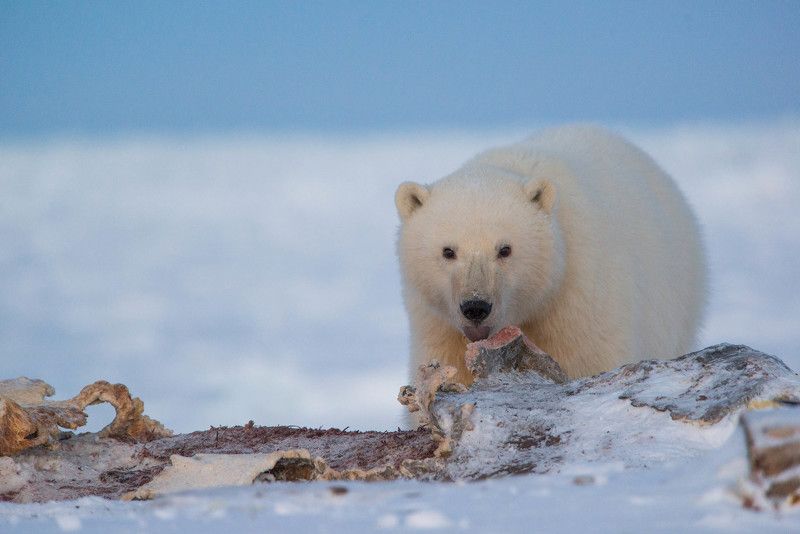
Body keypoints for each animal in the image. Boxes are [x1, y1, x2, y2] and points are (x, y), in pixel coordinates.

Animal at [395, 124, 706, 387]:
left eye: (505, 249)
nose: (475, 307)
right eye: (448, 251)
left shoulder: (580, 303)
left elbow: (592, 360)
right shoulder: (437, 325)